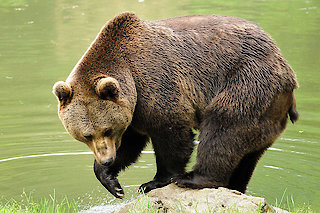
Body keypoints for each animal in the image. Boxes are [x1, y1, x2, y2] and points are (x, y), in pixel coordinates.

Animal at [53, 12, 298, 198]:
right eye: (86, 135)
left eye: (107, 129)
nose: (106, 160)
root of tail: (284, 63)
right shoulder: (132, 114)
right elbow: (131, 144)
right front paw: (112, 182)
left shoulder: (154, 84)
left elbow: (172, 135)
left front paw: (153, 182)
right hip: (267, 112)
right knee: (248, 154)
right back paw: (233, 186)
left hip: (248, 83)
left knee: (223, 127)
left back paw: (192, 178)